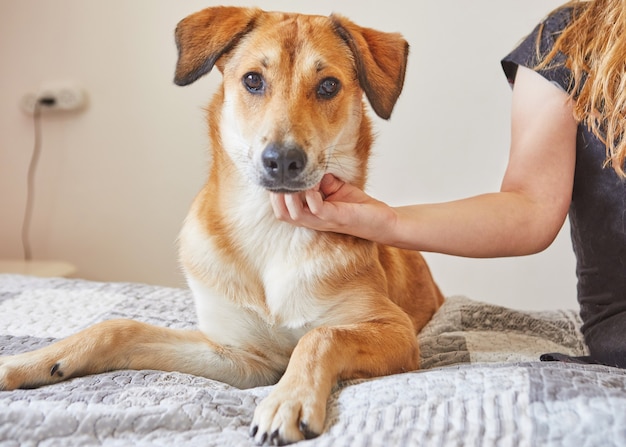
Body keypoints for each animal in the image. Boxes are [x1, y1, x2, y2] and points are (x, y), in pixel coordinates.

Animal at [0, 6, 442, 444]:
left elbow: (320, 336)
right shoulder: (242, 356)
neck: (271, 226)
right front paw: (29, 362)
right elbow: (118, 328)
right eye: (252, 80)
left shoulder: (394, 330)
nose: (282, 160)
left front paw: (288, 401)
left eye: (329, 85)